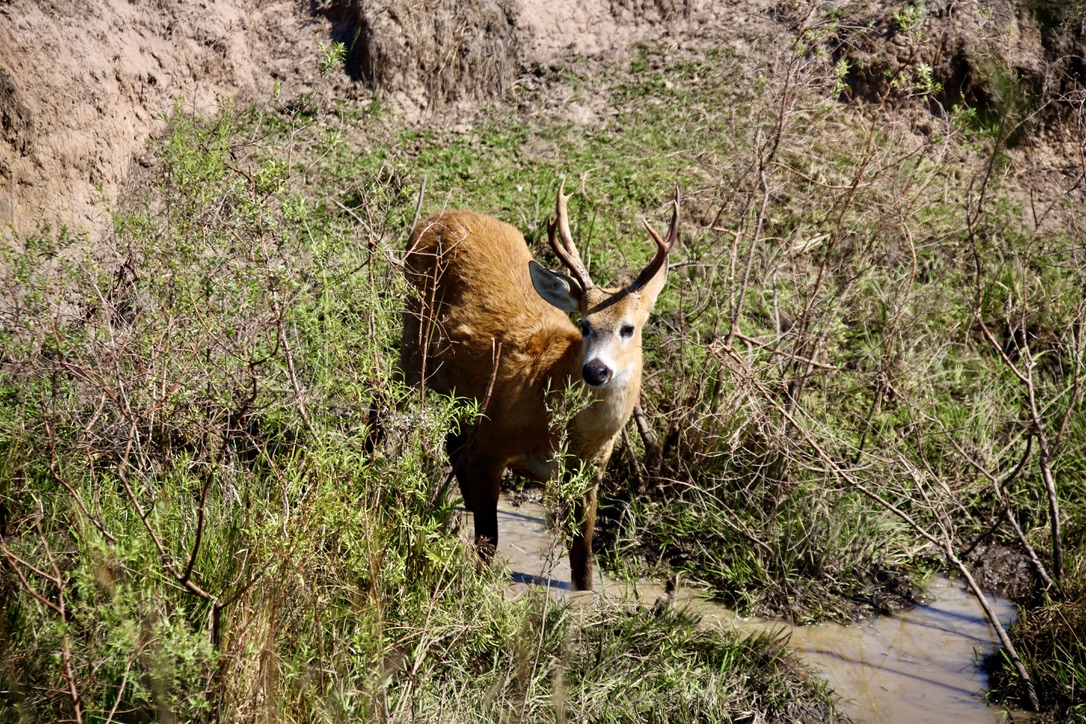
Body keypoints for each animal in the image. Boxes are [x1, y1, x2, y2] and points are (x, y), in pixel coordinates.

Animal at [403, 181, 677, 590]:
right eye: (585, 325)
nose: (596, 370)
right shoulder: (491, 444)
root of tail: (433, 218)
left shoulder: (590, 477)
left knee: (451, 441)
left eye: (629, 328)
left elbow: (583, 563)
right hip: (412, 341)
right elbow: (489, 541)